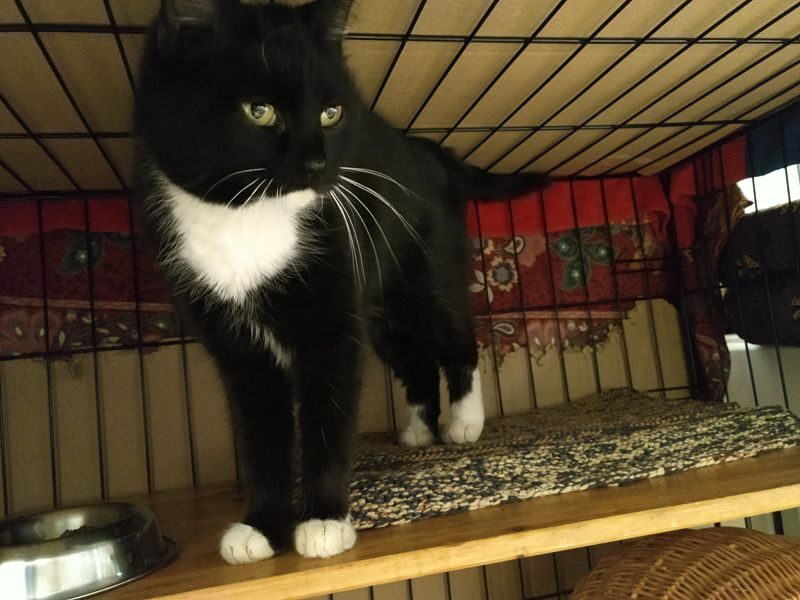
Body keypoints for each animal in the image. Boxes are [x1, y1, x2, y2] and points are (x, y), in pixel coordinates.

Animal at [134, 0, 546, 562]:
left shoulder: (331, 318)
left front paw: (324, 520)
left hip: (427, 273)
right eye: (259, 110)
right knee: (413, 359)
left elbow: (327, 415)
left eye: (331, 113)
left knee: (457, 335)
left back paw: (463, 421)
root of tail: (429, 151)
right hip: (379, 311)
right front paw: (261, 526)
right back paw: (419, 430)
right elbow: (260, 432)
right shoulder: (235, 346)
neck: (248, 219)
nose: (317, 164)